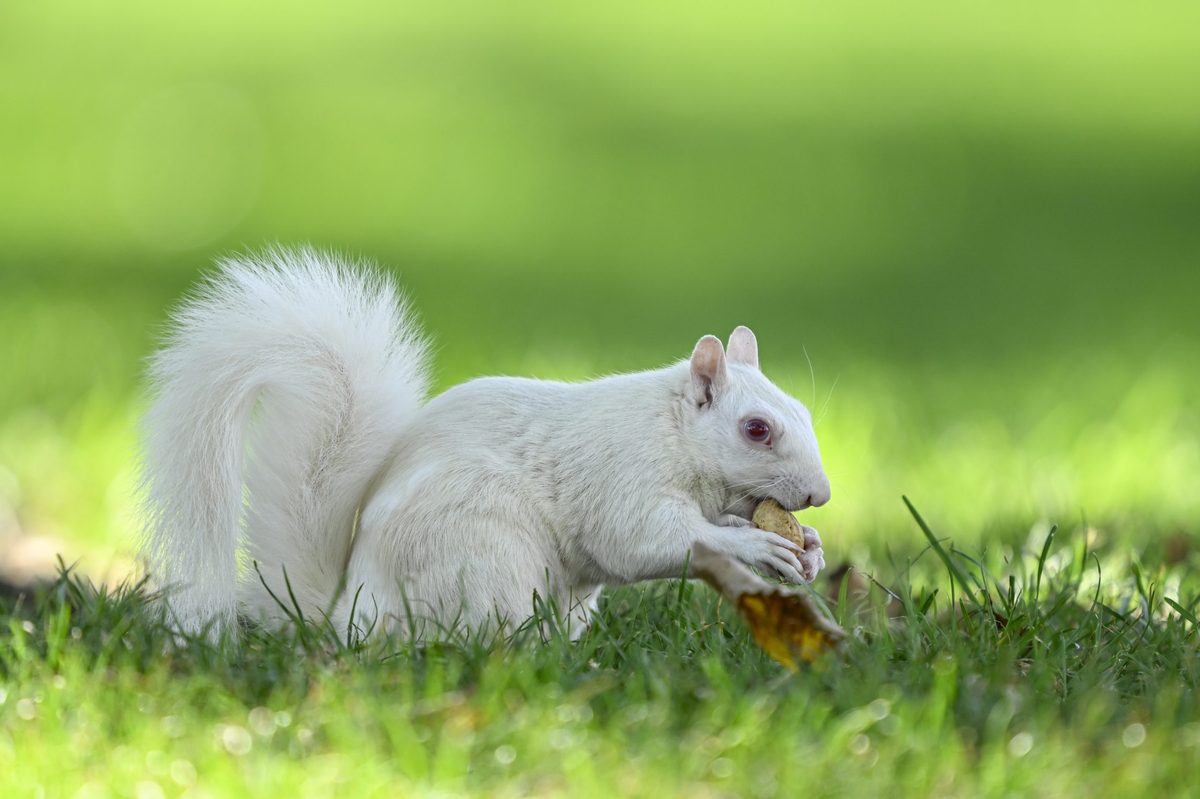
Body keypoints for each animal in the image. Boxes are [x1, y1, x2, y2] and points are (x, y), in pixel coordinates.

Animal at [140, 247, 831, 640]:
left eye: (803, 412)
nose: (820, 495)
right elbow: (647, 541)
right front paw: (756, 546)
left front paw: (810, 549)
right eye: (757, 429)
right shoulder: (623, 478)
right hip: (481, 556)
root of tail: (353, 615)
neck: (673, 434)